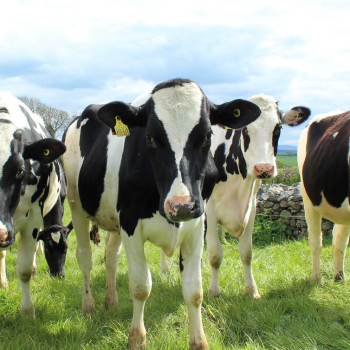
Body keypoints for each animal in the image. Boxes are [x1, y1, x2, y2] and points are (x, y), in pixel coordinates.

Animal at [0, 91, 66, 316]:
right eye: (49, 249)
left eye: (20, 169)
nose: (59, 275)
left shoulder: (34, 217)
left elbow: (25, 269)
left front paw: (28, 312)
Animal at [61, 79, 262, 350]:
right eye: (150, 137)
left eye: (207, 136)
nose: (181, 205)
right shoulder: (130, 224)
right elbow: (140, 286)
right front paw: (136, 338)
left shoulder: (198, 224)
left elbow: (194, 291)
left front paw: (199, 341)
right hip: (76, 203)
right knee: (85, 256)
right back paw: (89, 306)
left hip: (113, 219)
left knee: (111, 256)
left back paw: (111, 301)